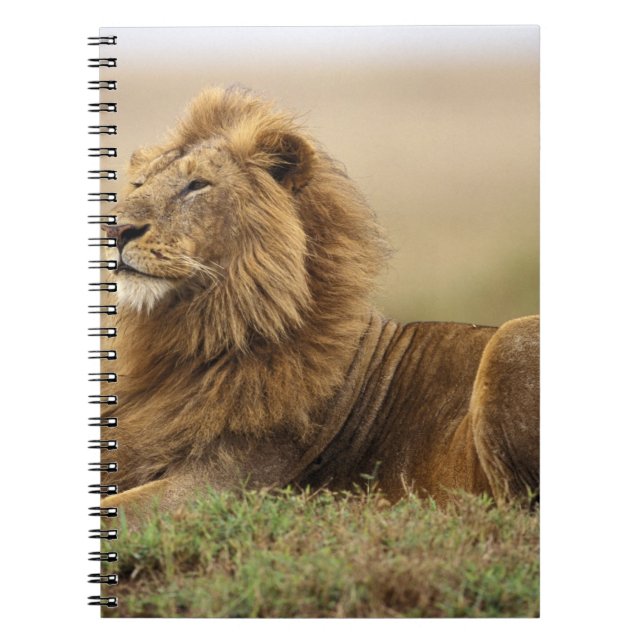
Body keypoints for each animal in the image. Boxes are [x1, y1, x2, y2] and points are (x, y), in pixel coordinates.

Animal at [100, 87, 539, 526]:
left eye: (197, 185)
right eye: (138, 184)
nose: (115, 230)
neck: (193, 338)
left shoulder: (222, 484)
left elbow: (114, 513)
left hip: (511, 338)